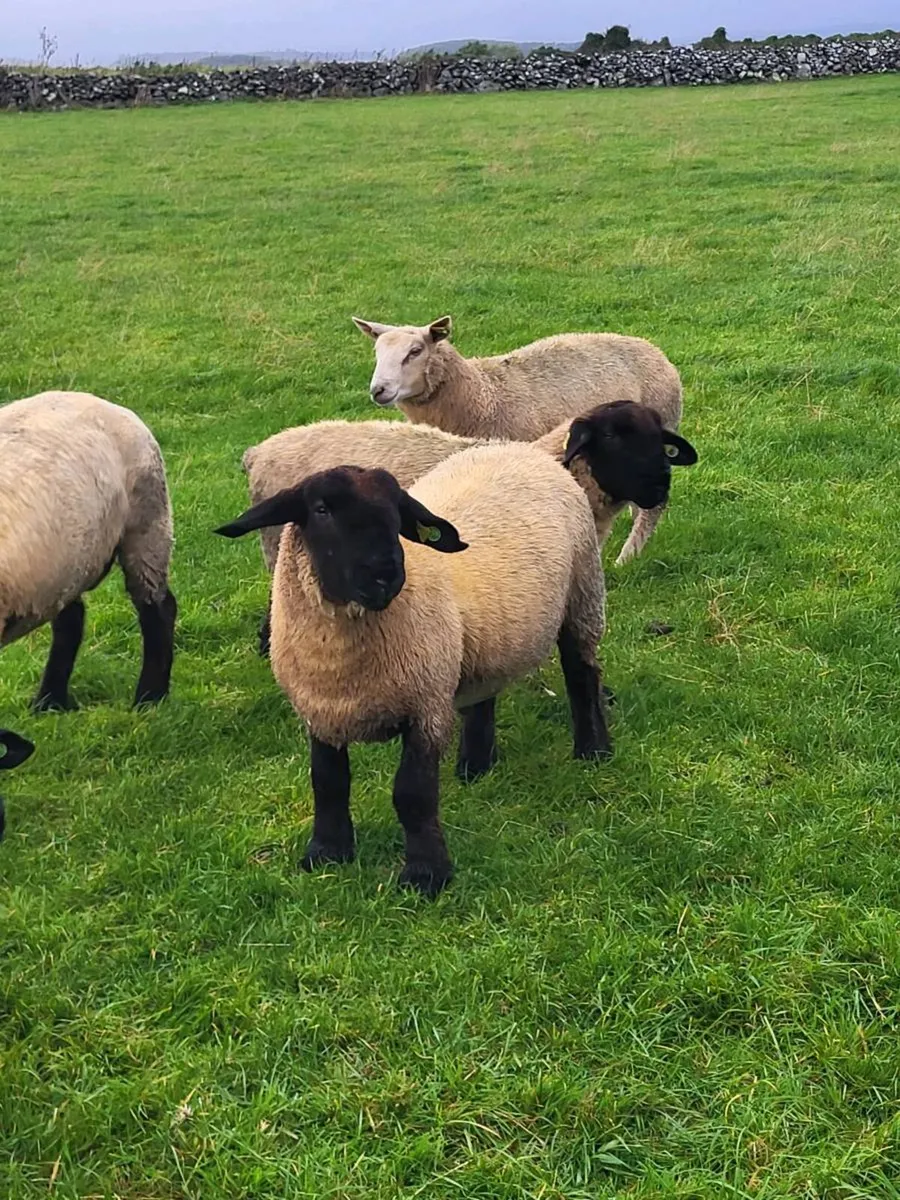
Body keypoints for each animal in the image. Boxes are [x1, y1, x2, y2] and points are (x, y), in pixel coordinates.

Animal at [0, 391, 177, 712]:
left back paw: (149, 698)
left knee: (157, 609)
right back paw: (50, 701)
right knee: (71, 618)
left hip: (147, 521)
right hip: (67, 561)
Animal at [216, 442, 613, 897]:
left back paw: (593, 750)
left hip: (582, 594)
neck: (342, 660)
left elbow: (413, 795)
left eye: (396, 513)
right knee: (486, 692)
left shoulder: (426, 707)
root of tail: (516, 449)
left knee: (582, 675)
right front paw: (326, 853)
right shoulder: (321, 712)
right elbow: (328, 782)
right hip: (482, 639)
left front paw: (426, 875)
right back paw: (475, 767)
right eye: (321, 509)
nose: (385, 574)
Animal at [353, 314, 685, 565]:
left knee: (654, 509)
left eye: (415, 352)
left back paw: (627, 557)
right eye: (377, 353)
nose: (378, 390)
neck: (483, 394)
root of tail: (653, 349)